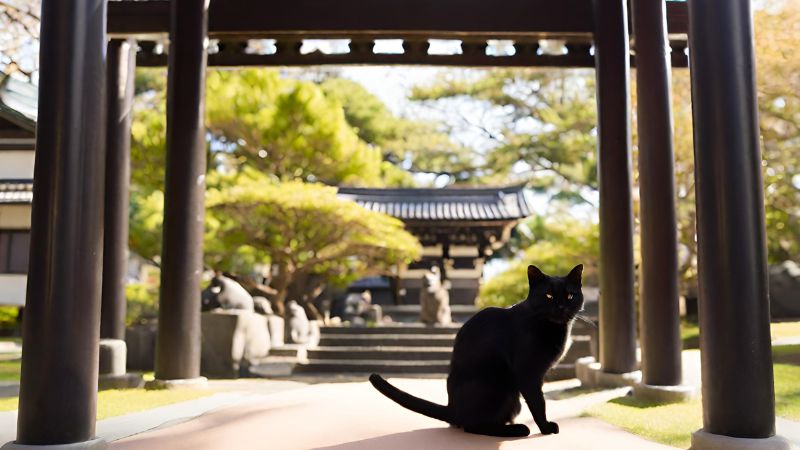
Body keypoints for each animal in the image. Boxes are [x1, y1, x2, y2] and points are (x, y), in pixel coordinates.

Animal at [368, 266, 580, 438]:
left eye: (570, 296)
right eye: (549, 296)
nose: (561, 307)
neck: (554, 328)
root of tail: (452, 409)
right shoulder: (528, 374)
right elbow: (538, 402)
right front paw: (546, 428)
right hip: (500, 386)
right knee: (473, 426)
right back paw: (516, 429)